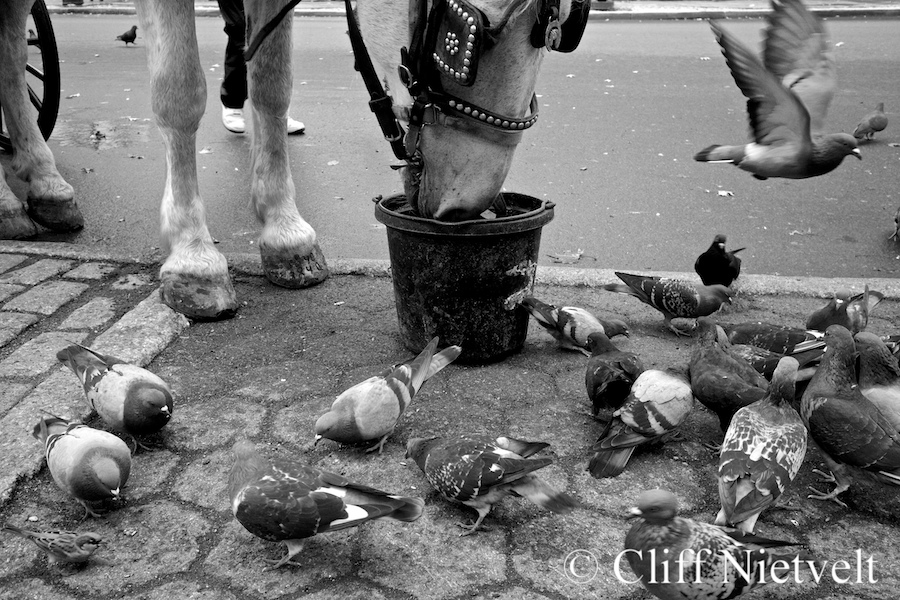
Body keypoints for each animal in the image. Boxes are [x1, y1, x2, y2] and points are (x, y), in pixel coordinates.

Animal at [0, 0, 589, 319]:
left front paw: (284, 233)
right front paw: (193, 254)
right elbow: (179, 92)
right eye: (464, 32)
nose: (468, 206)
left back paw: (42, 182)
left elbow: (271, 83)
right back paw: (20, 196)